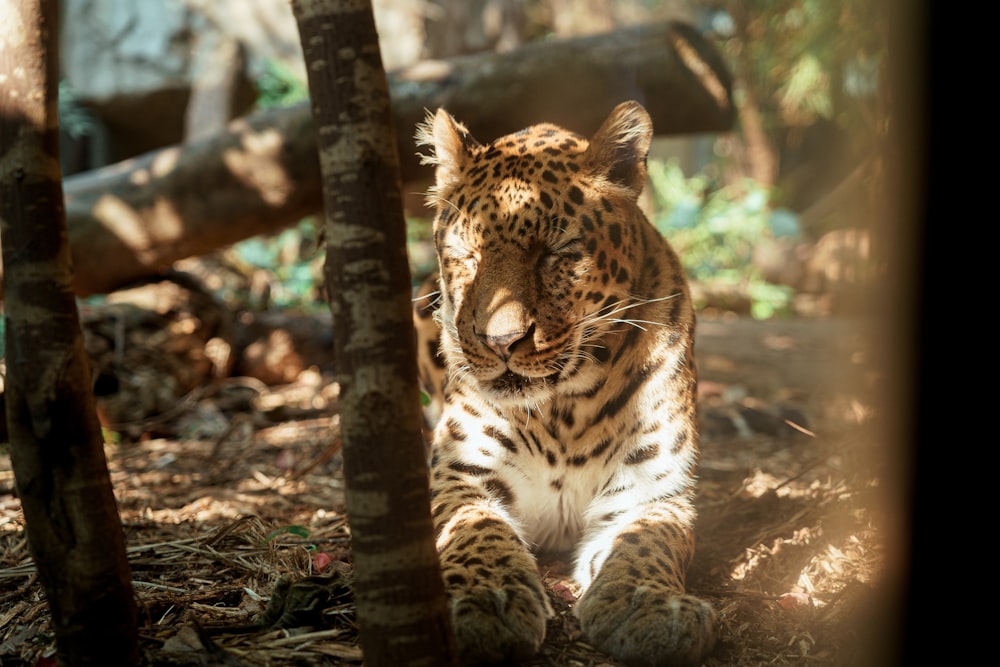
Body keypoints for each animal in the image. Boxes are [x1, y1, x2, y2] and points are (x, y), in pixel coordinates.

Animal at [418, 100, 716, 667]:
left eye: (556, 252)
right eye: (467, 255)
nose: (501, 341)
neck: (563, 410)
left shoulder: (653, 488)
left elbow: (648, 539)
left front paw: (644, 603)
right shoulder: (463, 474)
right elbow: (474, 528)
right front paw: (487, 600)